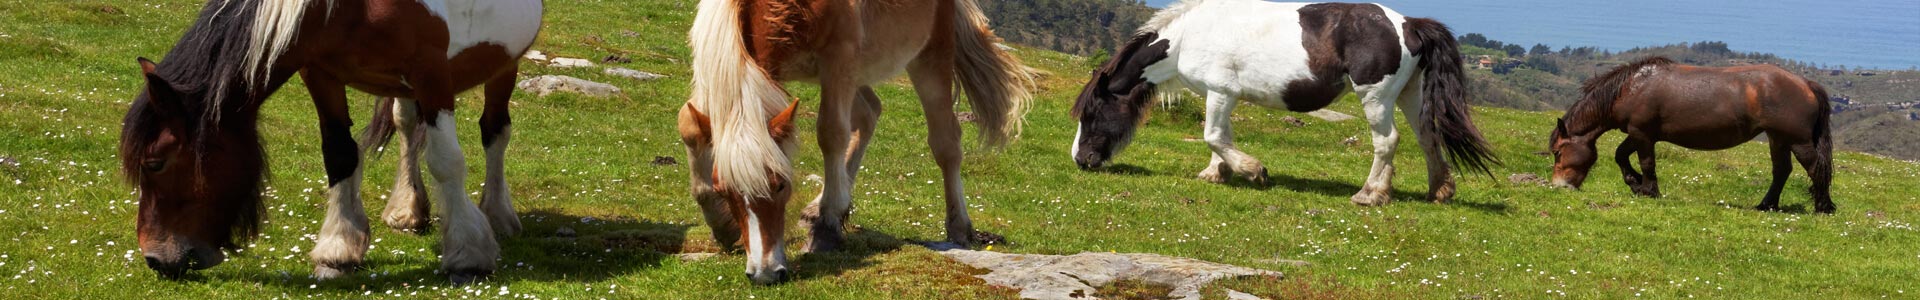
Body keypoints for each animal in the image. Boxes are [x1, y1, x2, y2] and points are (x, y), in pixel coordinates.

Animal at [117, 0, 545, 282]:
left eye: (155, 162)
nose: (155, 258)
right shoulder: (321, 73)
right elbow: (339, 155)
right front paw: (338, 251)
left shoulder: (433, 72)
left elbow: (446, 162)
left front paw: (468, 254)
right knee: (406, 126)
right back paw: (407, 209)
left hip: (504, 63)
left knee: (495, 132)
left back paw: (497, 212)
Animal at [675, 0, 1036, 282]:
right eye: (725, 190)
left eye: (781, 185)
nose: (764, 273)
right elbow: (688, 124)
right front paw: (721, 222)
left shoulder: (839, 60)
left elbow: (831, 132)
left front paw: (827, 229)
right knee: (870, 113)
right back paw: (817, 208)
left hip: (928, 55)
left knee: (946, 142)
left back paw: (959, 226)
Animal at [1536, 56, 1835, 213]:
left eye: (1558, 152)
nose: (1559, 185)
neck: (1631, 88)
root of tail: (1805, 83)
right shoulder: (1638, 134)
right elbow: (1621, 156)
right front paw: (1635, 183)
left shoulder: (1642, 134)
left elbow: (1647, 163)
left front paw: (1648, 190)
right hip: (1778, 139)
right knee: (1781, 171)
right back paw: (1766, 205)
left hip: (1797, 141)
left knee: (1815, 168)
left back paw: (1823, 207)